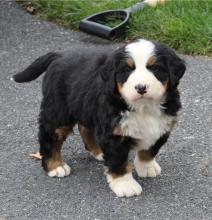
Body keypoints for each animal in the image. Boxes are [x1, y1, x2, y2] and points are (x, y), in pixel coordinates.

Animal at [12, 39, 186, 198]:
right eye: (127, 70)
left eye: (155, 68)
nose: (141, 87)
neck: (143, 107)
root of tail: (59, 55)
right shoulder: (113, 133)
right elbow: (119, 161)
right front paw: (125, 184)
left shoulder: (162, 126)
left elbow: (150, 150)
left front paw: (147, 167)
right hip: (58, 111)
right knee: (49, 136)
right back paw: (55, 166)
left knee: (84, 127)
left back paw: (98, 152)